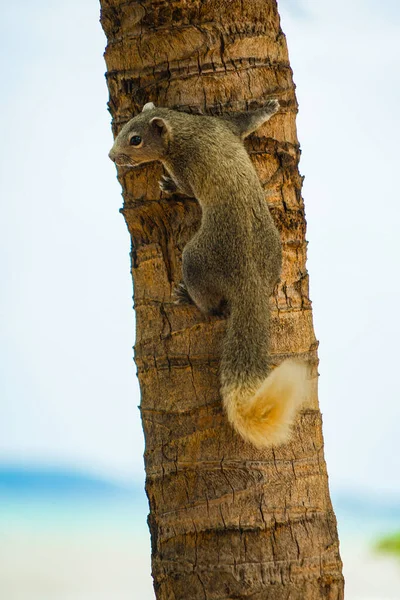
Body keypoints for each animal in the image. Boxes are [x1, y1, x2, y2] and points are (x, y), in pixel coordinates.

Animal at [109, 101, 310, 448]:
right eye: (124, 128)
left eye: (135, 139)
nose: (111, 155)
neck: (188, 130)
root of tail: (250, 282)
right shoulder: (227, 126)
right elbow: (249, 121)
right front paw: (270, 106)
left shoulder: (183, 167)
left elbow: (185, 189)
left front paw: (167, 185)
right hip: (275, 256)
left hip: (195, 258)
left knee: (211, 306)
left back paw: (186, 296)